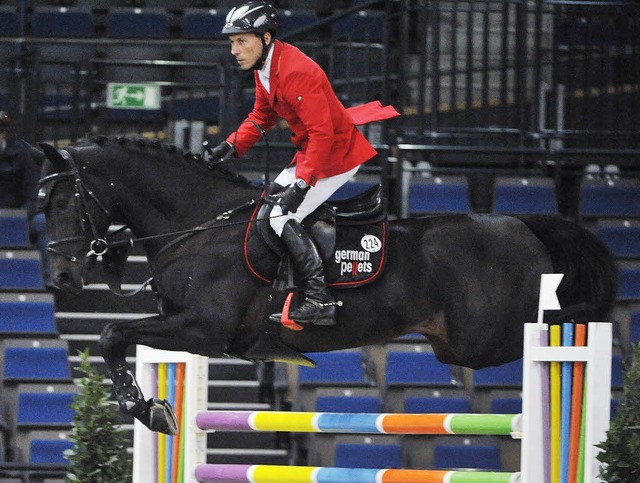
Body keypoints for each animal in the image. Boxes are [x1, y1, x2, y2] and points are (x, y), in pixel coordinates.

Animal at [37, 136, 616, 434]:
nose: (61, 277)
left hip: (482, 338)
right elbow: (117, 335)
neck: (198, 224)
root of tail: (521, 222)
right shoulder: (181, 324)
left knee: (559, 326)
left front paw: (144, 407)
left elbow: (111, 333)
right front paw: (147, 405)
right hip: (460, 343)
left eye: (64, 201)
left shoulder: (203, 330)